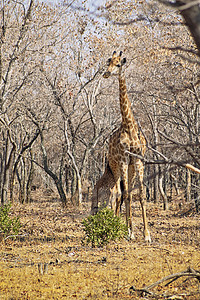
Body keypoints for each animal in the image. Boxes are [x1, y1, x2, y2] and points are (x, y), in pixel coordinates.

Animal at [102, 49, 151, 241]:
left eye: (118, 64)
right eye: (108, 63)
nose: (106, 73)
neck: (129, 126)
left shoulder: (138, 161)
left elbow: (140, 194)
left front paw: (146, 234)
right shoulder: (123, 160)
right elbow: (126, 195)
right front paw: (130, 232)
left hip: (129, 168)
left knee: (125, 192)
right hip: (115, 167)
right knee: (116, 193)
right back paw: (118, 226)